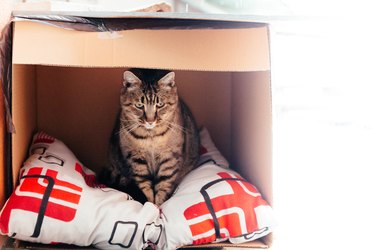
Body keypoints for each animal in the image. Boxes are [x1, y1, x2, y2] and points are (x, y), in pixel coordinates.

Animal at [99, 68, 200, 205]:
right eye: (139, 105)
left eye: (160, 105)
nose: (150, 121)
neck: (151, 137)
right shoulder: (135, 158)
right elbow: (144, 185)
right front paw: (150, 204)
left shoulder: (169, 157)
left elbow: (164, 183)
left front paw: (158, 205)